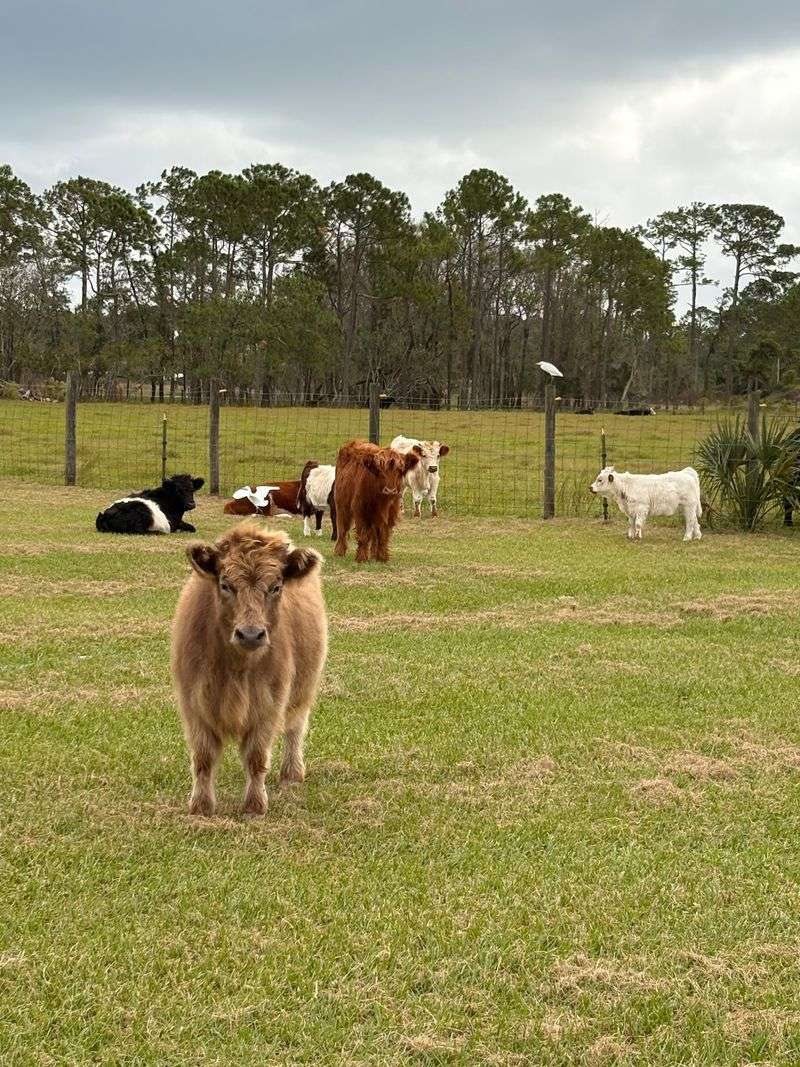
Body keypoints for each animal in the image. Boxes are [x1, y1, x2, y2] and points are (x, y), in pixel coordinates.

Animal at [171, 524, 327, 816]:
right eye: (225, 584)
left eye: (276, 586)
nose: (251, 634)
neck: (236, 668)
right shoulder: (194, 703)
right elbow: (203, 757)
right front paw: (201, 806)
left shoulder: (269, 705)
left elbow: (256, 757)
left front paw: (255, 806)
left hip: (304, 689)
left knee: (295, 728)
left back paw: (292, 773)